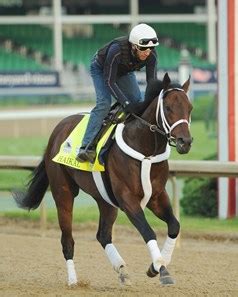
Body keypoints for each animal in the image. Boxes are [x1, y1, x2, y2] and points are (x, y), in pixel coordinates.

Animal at [13, 71, 193, 284]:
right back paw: (73, 281)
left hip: (105, 200)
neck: (145, 150)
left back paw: (121, 269)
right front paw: (161, 268)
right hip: (63, 192)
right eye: (168, 108)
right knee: (67, 239)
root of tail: (57, 130)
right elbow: (148, 231)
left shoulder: (156, 196)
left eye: (190, 108)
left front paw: (157, 267)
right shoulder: (127, 199)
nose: (185, 142)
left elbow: (174, 225)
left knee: (103, 235)